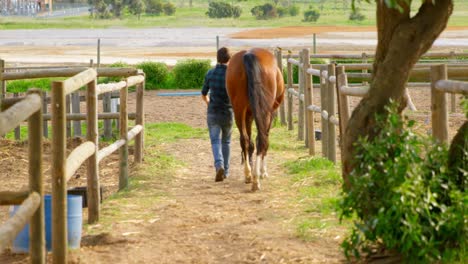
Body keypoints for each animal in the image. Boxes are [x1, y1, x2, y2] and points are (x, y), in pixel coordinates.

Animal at [225, 48, 284, 192]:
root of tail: (249, 54)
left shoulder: (249, 114)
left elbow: (250, 141)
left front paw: (251, 171)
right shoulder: (270, 113)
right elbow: (265, 140)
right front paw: (263, 172)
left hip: (239, 109)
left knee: (245, 140)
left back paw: (248, 174)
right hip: (264, 112)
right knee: (261, 141)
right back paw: (257, 178)